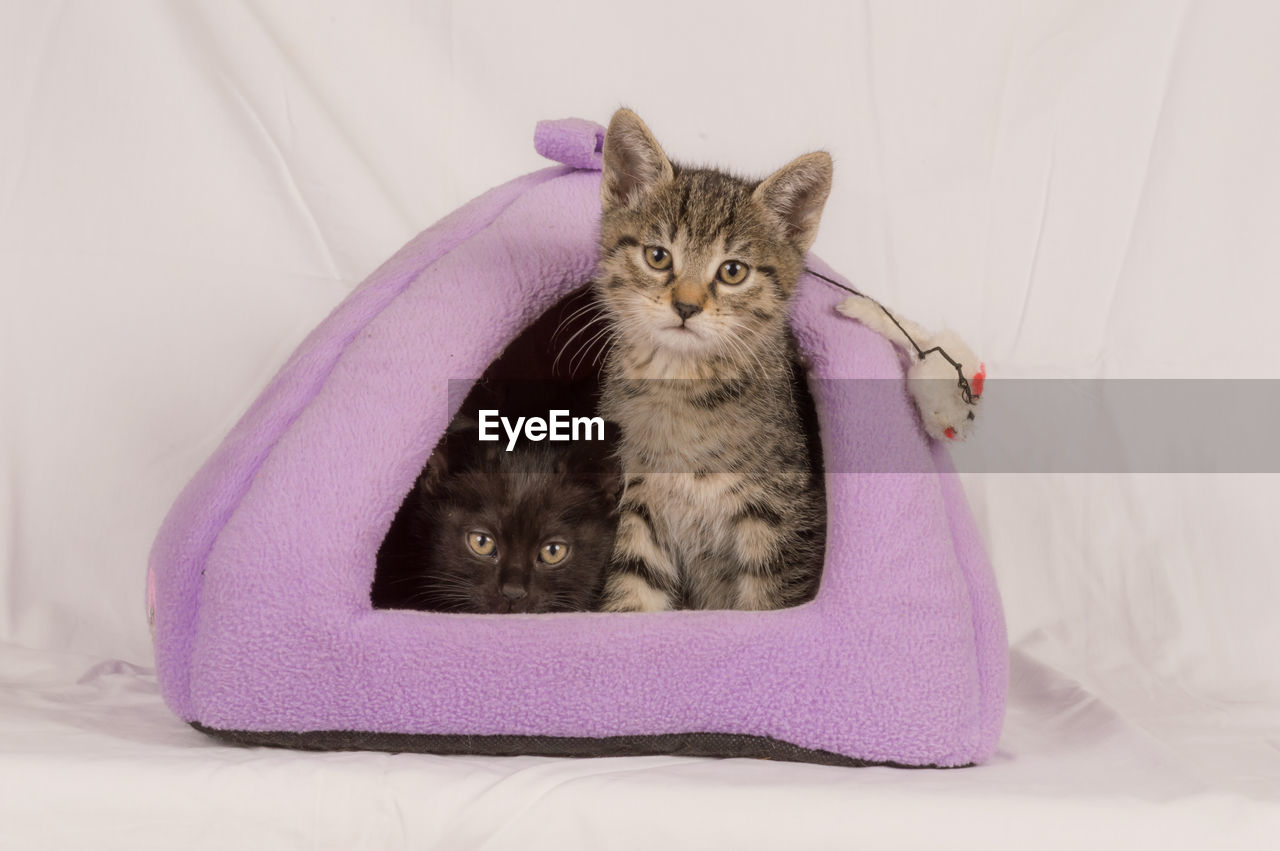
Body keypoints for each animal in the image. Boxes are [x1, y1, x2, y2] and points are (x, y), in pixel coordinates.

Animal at [596, 108, 834, 611]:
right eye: (657, 256)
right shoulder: (637, 504)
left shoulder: (780, 518)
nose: (686, 306)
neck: (682, 389)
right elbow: (632, 593)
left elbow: (769, 602)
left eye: (733, 271)